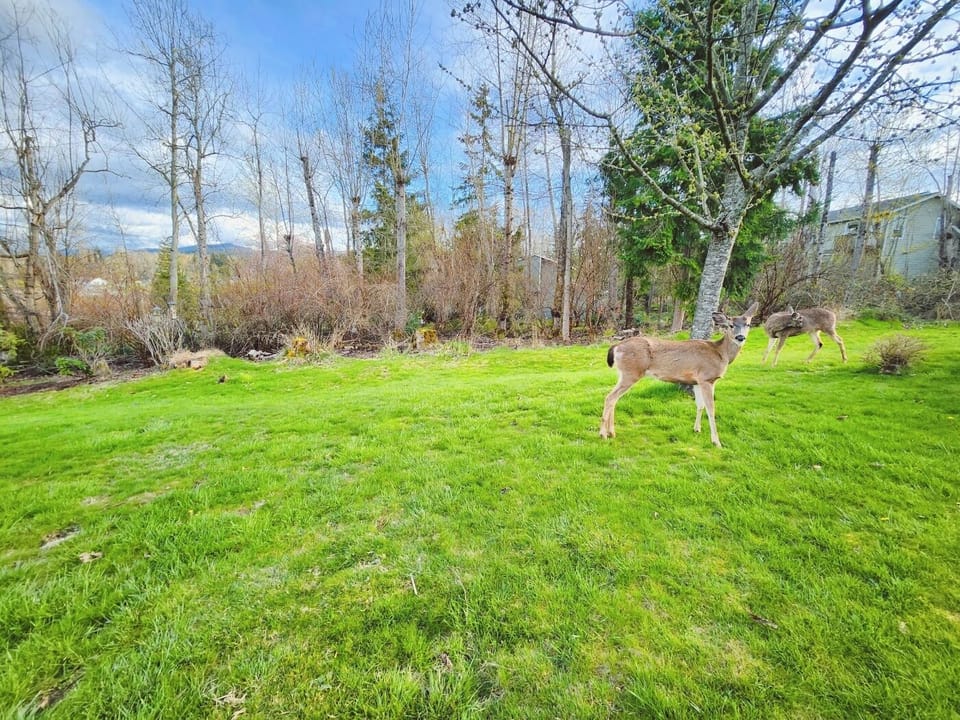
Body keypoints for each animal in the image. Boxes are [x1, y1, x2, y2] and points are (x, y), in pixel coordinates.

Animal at [600, 302, 759, 448]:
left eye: (748, 324)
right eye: (731, 325)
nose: (740, 337)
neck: (721, 354)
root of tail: (616, 347)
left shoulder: (697, 381)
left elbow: (700, 405)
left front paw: (697, 429)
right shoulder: (707, 378)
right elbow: (711, 409)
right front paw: (716, 442)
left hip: (624, 373)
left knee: (614, 398)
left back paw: (611, 432)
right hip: (632, 373)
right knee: (610, 397)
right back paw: (603, 434)